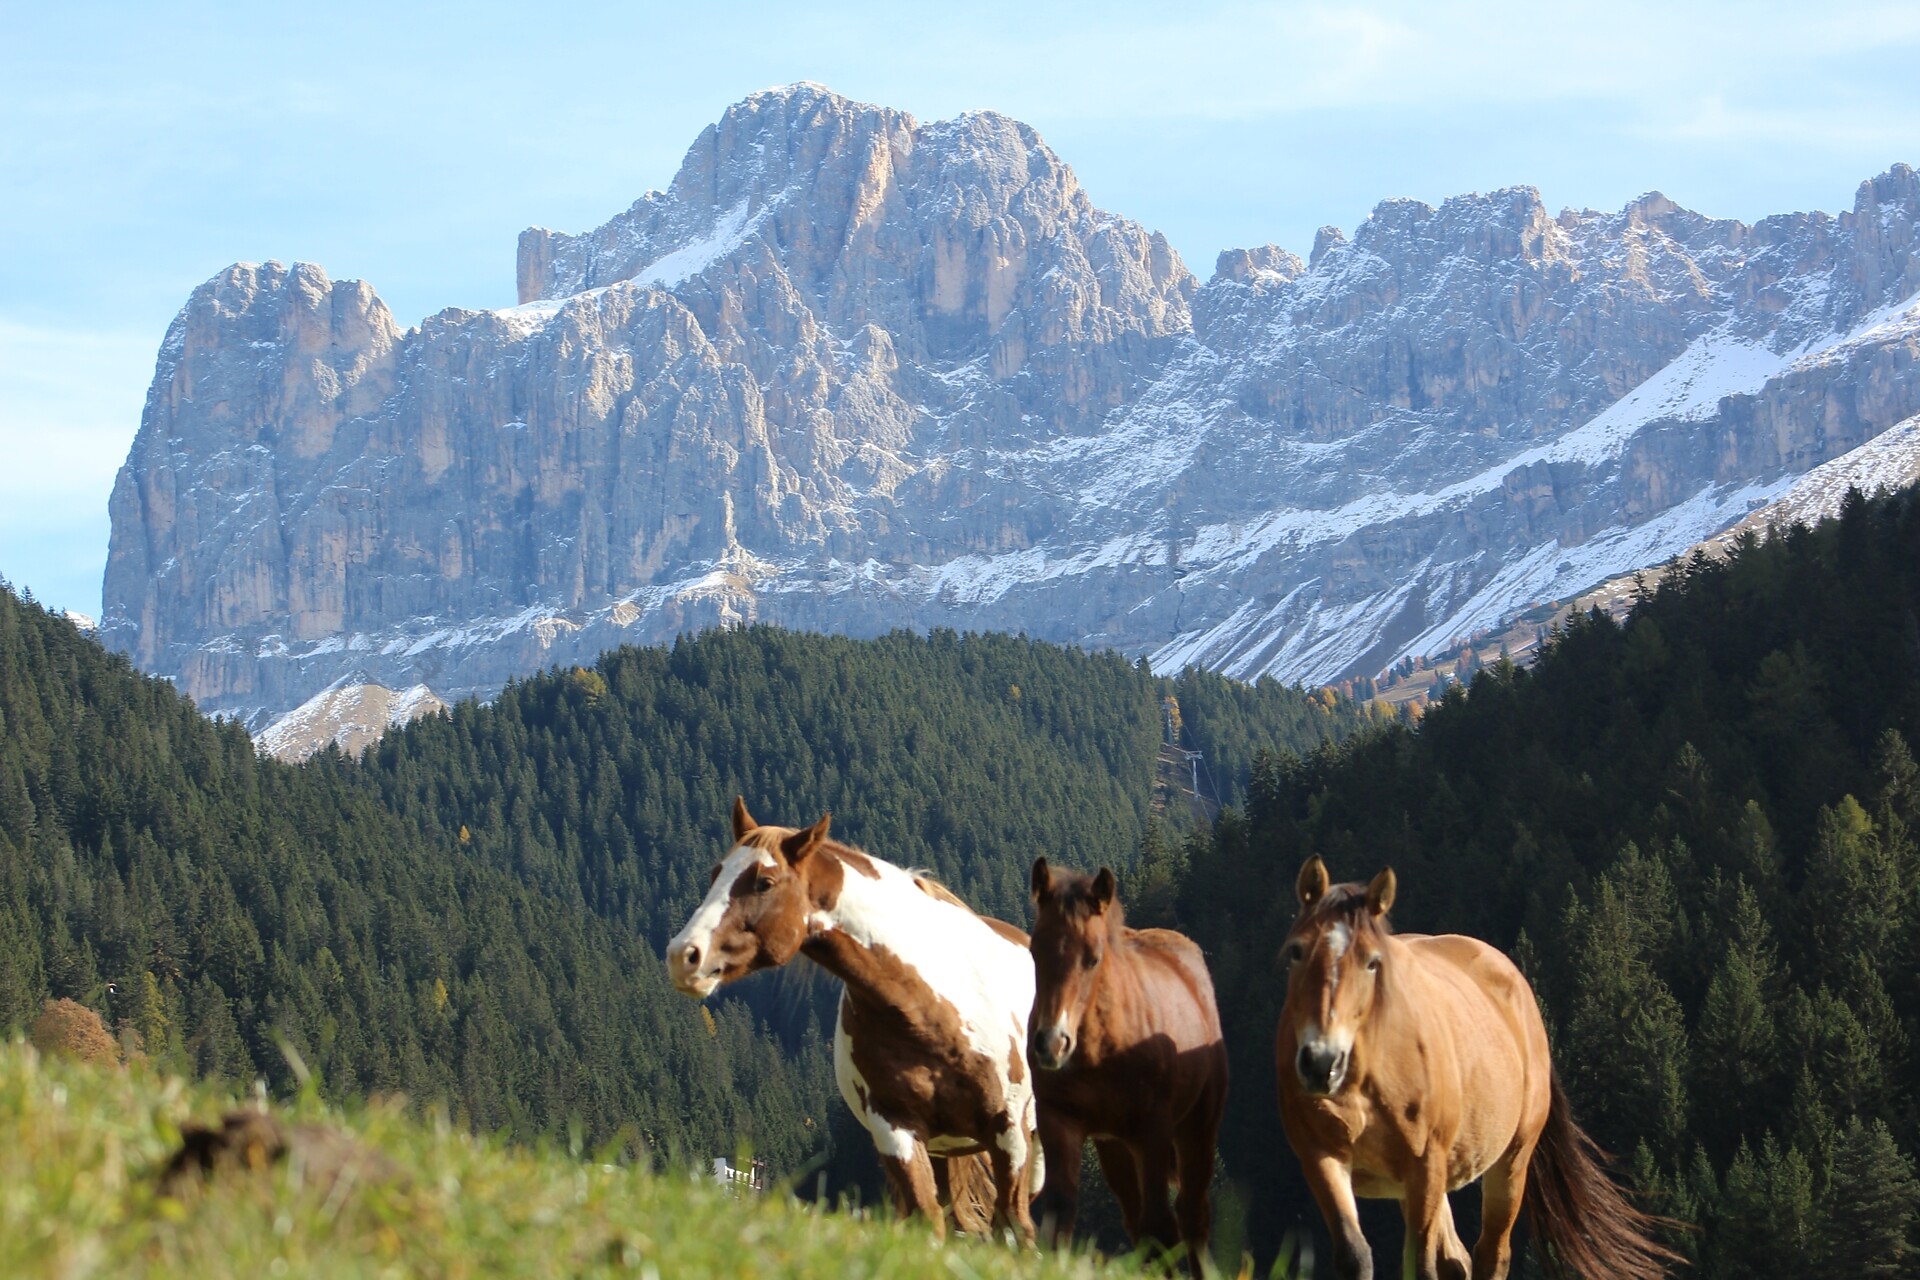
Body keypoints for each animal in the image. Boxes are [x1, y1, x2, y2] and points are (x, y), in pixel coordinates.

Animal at [665, 798, 1044, 1240]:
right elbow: (927, 1219)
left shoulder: (1008, 1131)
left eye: (764, 882)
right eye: (716, 874)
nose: (684, 955)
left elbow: (1016, 1227)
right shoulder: (895, 1130)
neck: (934, 1011)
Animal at [1027, 858, 1229, 1277]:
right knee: (1139, 1220)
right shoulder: (1059, 1118)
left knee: (1190, 1215)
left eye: (1093, 958)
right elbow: (1060, 1210)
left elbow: (1160, 1224)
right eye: (1036, 950)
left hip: (1196, 1127)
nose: (1052, 1043)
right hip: (1115, 1146)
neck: (1102, 1047)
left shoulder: (1153, 1127)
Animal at [1276, 856, 1682, 1280]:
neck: (1367, 1079)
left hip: (1510, 1160)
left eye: (1372, 962)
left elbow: (1421, 1264)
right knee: (1457, 1260)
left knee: (1490, 1253)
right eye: (1297, 951)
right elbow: (1356, 1256)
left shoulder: (1426, 1164)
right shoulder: (1322, 1157)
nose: (1322, 1062)